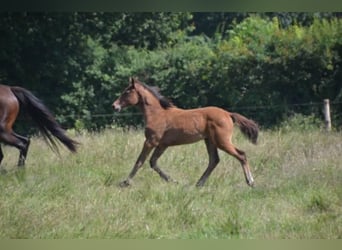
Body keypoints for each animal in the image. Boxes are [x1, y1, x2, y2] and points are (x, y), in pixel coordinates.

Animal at [113, 78, 260, 188]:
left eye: (126, 92)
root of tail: (228, 114)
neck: (157, 114)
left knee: (241, 155)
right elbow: (153, 162)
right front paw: (173, 180)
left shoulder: (151, 141)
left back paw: (250, 182)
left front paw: (125, 182)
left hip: (222, 141)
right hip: (210, 141)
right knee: (214, 160)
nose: (114, 106)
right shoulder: (162, 144)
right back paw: (198, 184)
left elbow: (140, 161)